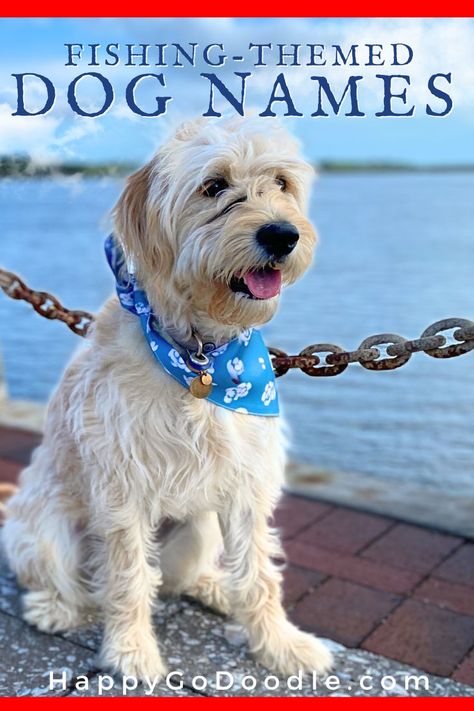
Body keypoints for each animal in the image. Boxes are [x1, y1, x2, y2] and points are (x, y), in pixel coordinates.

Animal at [2, 119, 334, 680]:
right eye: (214, 186)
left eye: (281, 182)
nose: (282, 235)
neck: (200, 356)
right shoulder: (123, 487)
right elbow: (127, 577)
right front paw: (131, 652)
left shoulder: (246, 483)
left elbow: (259, 575)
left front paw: (280, 645)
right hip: (45, 527)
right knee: (76, 583)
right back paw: (56, 608)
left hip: (200, 530)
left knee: (181, 578)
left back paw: (214, 588)